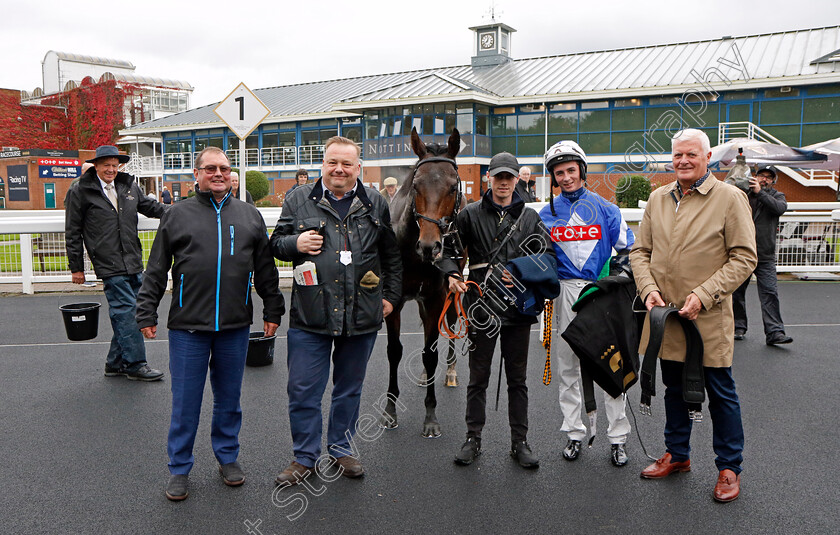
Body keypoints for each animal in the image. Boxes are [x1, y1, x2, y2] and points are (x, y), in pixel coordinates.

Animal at [380, 127, 466, 438]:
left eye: (453, 187)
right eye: (415, 186)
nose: (430, 246)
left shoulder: (436, 297)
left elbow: (431, 353)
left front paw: (430, 416)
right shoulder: (392, 300)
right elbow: (394, 351)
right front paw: (390, 411)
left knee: (450, 323)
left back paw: (450, 371)